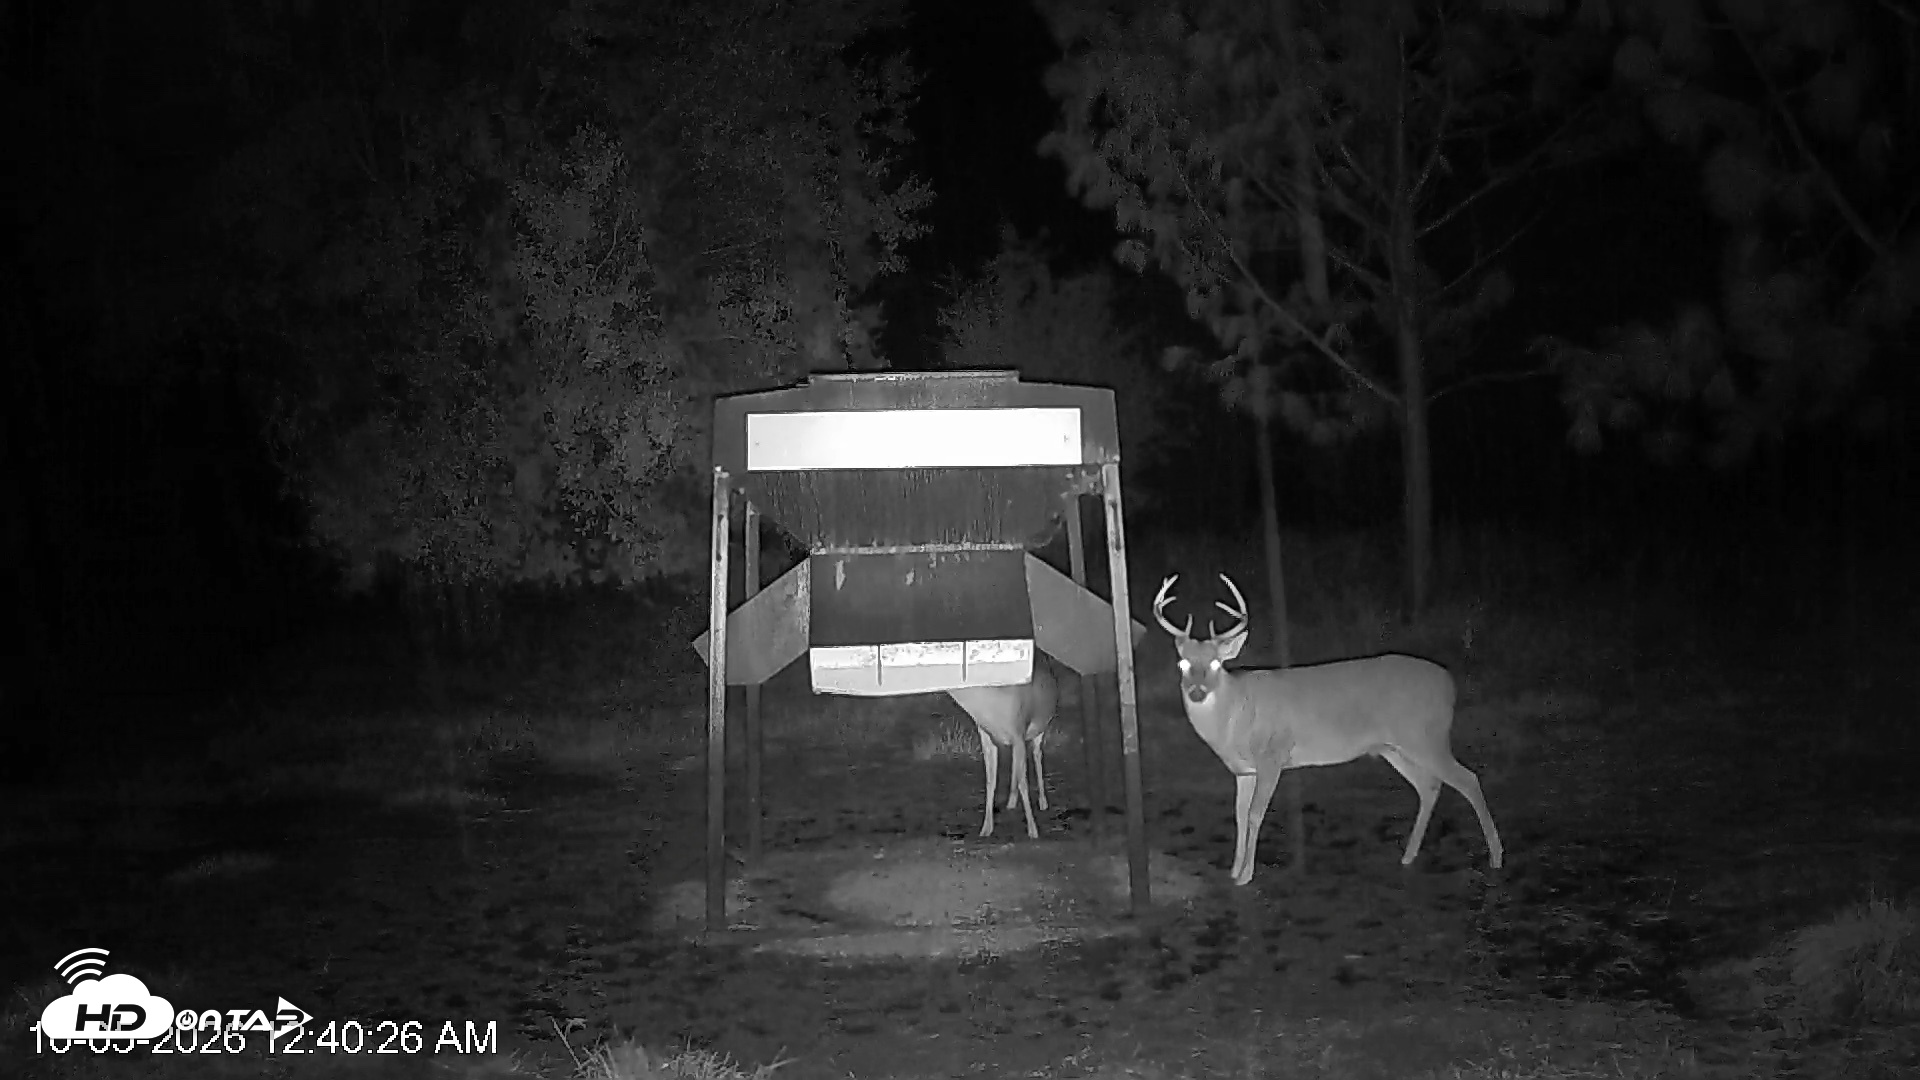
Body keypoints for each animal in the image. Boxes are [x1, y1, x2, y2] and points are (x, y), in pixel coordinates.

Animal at [946, 658, 1059, 840]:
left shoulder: (1019, 730)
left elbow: (1024, 783)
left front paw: (1033, 830)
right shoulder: (986, 736)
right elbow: (990, 782)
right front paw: (986, 829)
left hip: (1040, 727)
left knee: (1037, 754)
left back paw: (1043, 802)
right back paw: (1011, 802)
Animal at [1152, 574, 1504, 885]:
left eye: (1215, 664)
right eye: (1183, 664)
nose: (1197, 692)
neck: (1234, 715)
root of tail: (1450, 684)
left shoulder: (1272, 755)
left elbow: (1254, 814)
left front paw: (1246, 876)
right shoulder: (1244, 770)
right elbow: (1239, 815)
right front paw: (1234, 870)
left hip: (1427, 736)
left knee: (1468, 779)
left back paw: (1496, 857)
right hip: (1394, 747)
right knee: (1429, 785)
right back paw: (1408, 856)